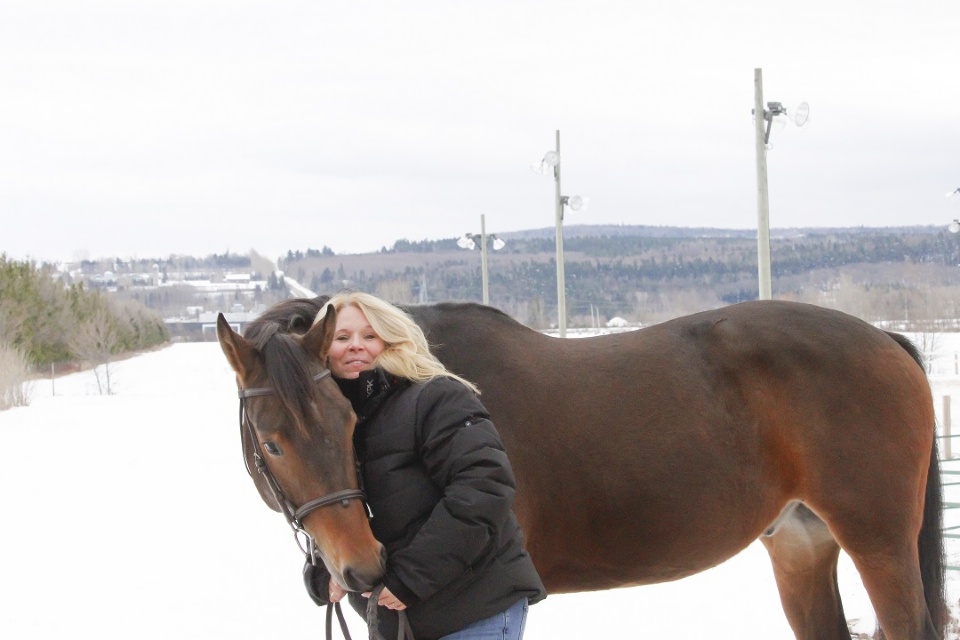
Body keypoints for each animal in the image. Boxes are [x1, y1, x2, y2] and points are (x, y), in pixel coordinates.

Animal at [218, 300, 944, 640]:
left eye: (346, 424)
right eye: (273, 443)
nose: (364, 570)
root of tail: (885, 338)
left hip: (878, 542)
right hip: (801, 544)